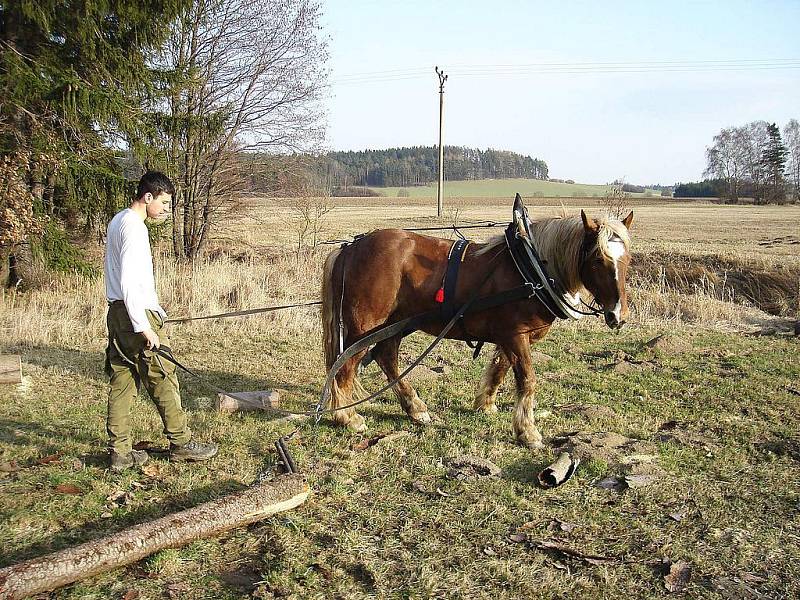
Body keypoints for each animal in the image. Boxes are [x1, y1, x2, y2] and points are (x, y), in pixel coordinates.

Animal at [318, 204, 632, 448]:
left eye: (626, 259)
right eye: (597, 259)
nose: (618, 315)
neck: (532, 269)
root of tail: (351, 248)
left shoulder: (511, 338)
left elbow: (499, 370)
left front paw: (486, 405)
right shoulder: (515, 335)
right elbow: (527, 379)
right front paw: (527, 431)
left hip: (396, 322)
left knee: (386, 356)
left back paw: (415, 409)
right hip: (365, 326)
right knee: (346, 366)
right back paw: (347, 417)